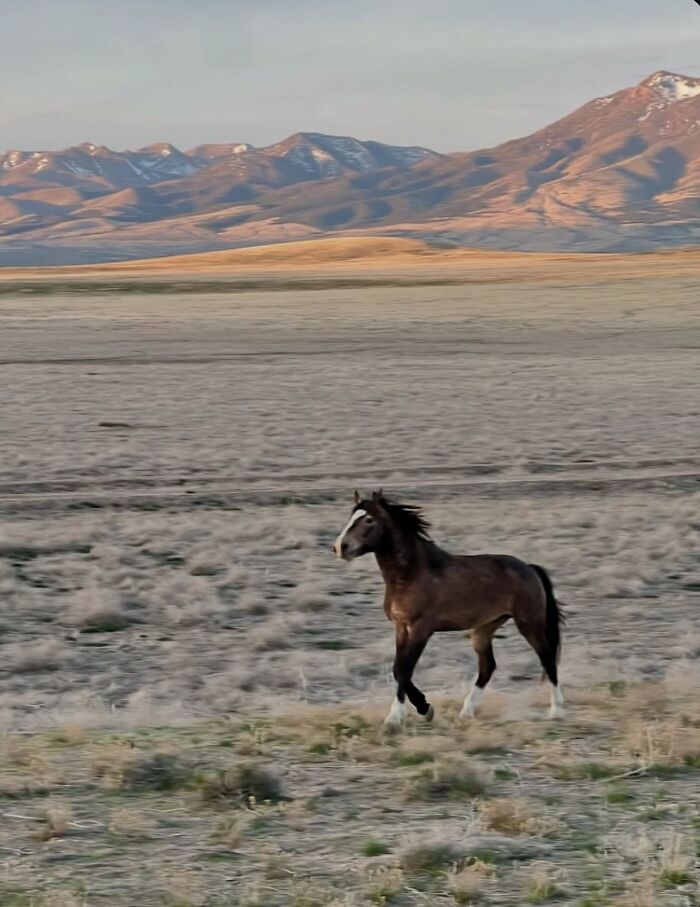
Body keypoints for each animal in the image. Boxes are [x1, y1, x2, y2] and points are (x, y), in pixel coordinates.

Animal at [333, 490, 565, 727]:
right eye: (351, 517)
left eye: (369, 520)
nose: (340, 547)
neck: (410, 575)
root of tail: (530, 568)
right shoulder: (401, 627)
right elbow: (398, 669)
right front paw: (424, 708)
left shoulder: (421, 628)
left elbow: (405, 669)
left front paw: (395, 718)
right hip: (484, 628)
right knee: (487, 666)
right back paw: (466, 712)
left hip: (529, 622)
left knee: (547, 658)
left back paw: (556, 711)